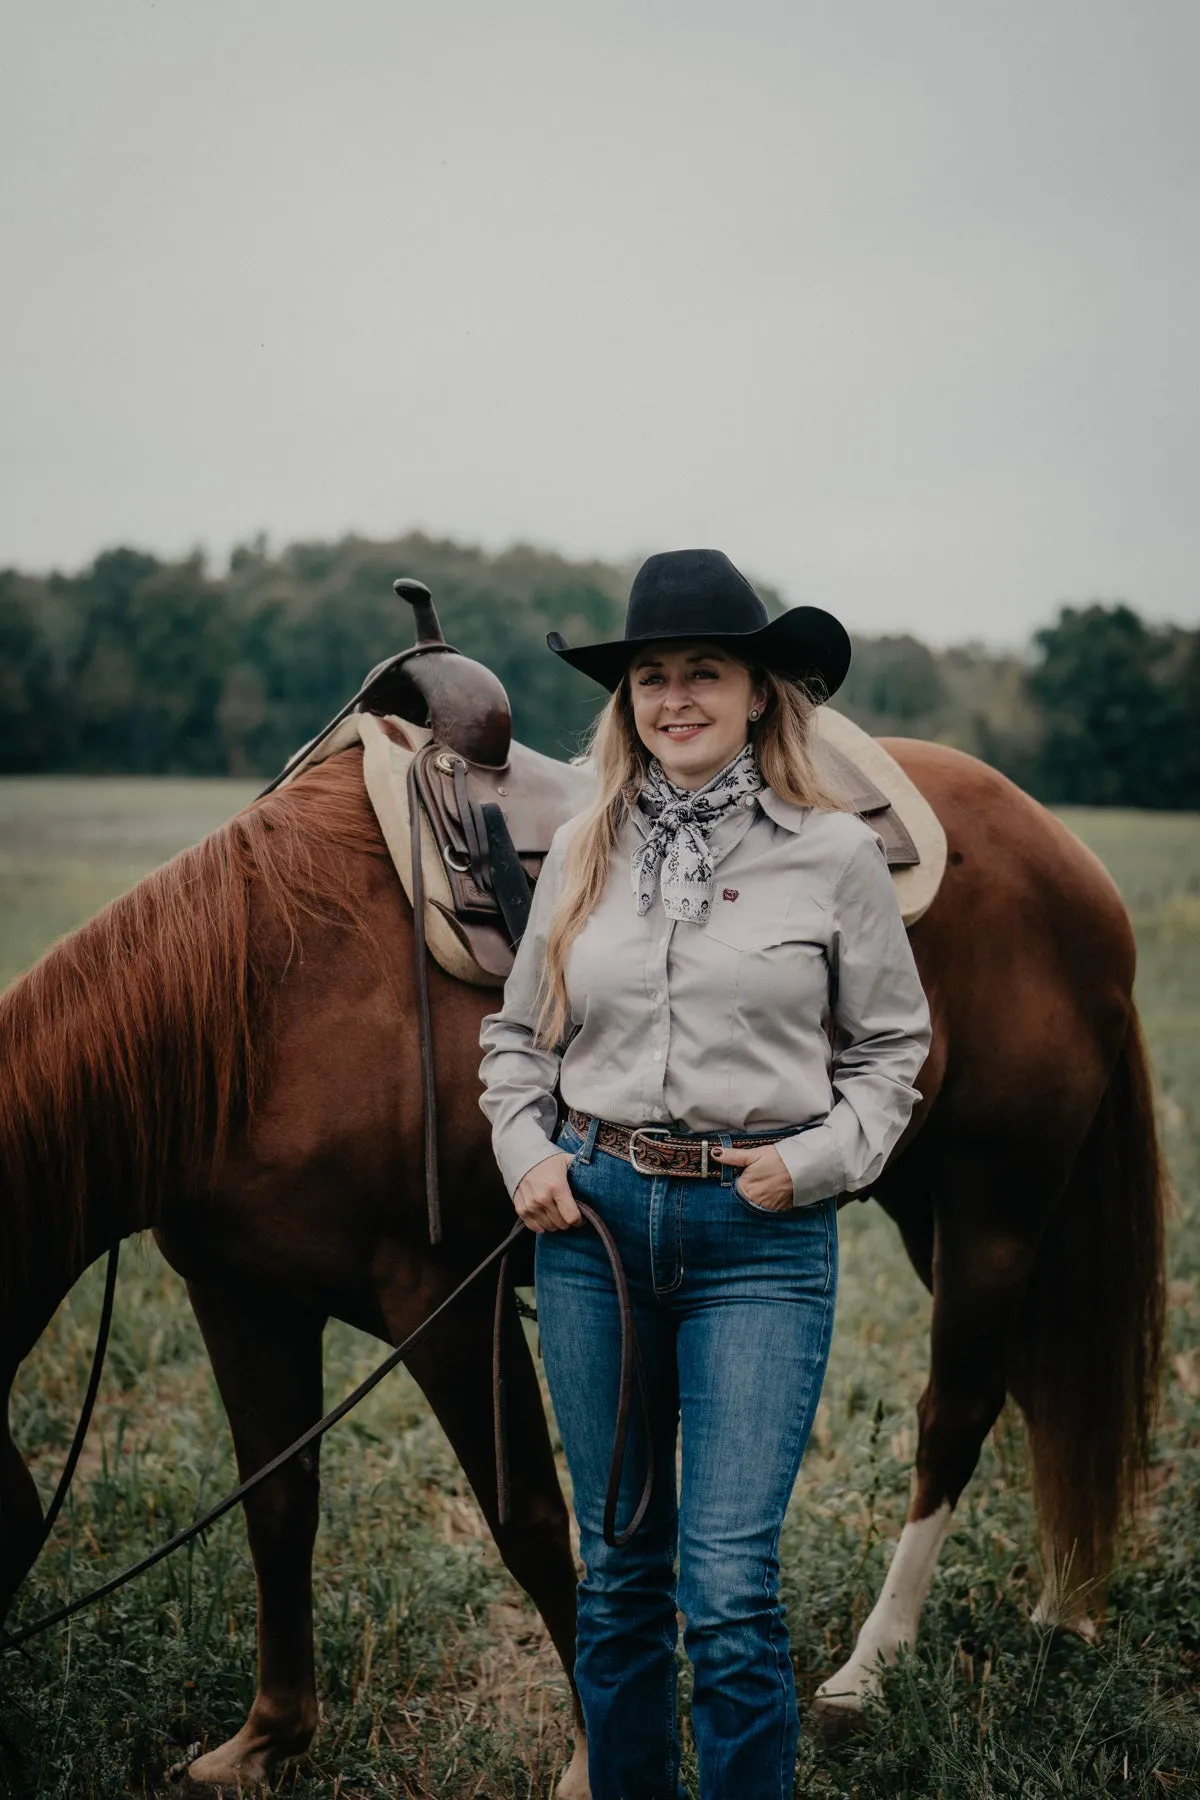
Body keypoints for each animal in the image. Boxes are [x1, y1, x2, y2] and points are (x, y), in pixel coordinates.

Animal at [0, 738, 1165, 1792]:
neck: (264, 1010)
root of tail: (1068, 858)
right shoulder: (242, 1298)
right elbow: (279, 1508)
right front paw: (267, 1738)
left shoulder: (445, 1306)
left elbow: (528, 1520)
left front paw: (591, 1758)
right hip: (927, 1198)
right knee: (1043, 1384)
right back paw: (1067, 1606)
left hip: (994, 1202)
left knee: (959, 1408)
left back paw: (867, 1673)